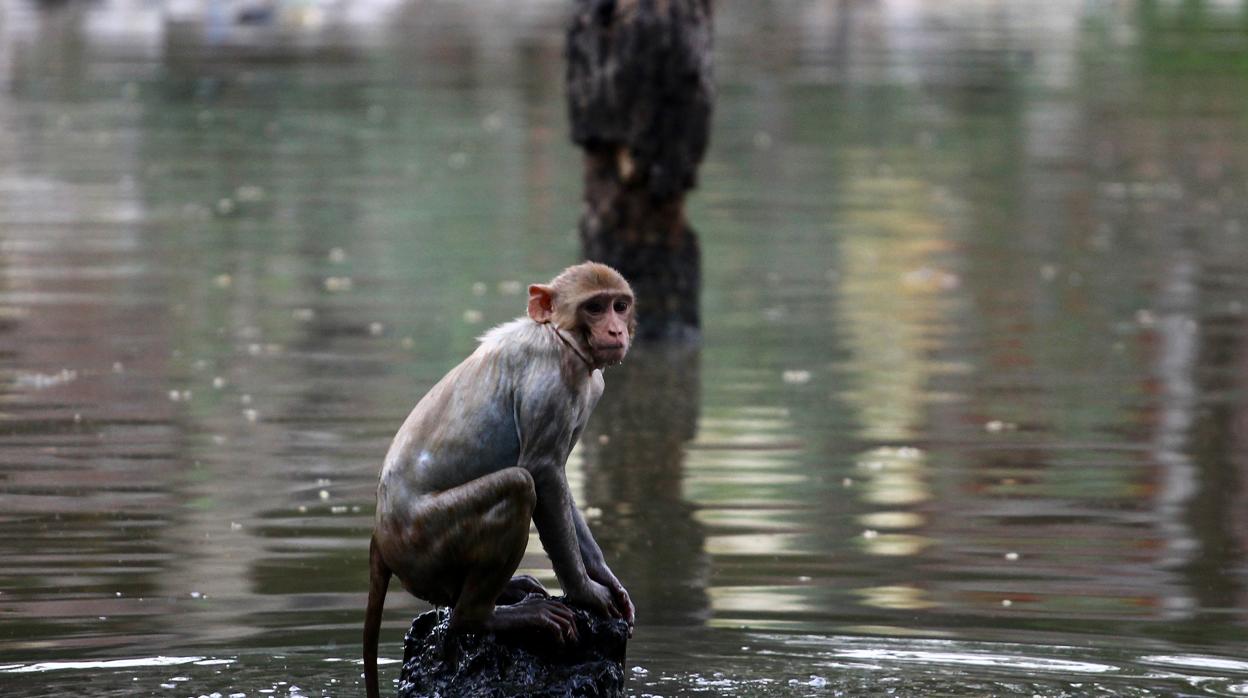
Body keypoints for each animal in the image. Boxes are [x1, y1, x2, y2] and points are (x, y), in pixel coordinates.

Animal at [361, 260, 633, 698]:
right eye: (595, 307)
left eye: (619, 306)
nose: (616, 330)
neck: (559, 337)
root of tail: (379, 536)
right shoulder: (550, 385)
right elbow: (542, 473)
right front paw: (587, 593)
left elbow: (559, 481)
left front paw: (607, 579)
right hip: (424, 540)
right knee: (518, 487)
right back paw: (484, 616)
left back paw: (507, 592)